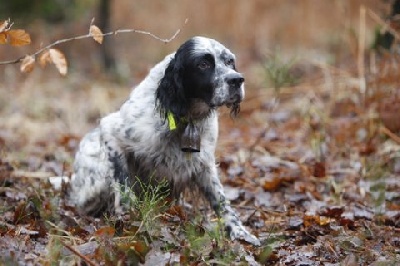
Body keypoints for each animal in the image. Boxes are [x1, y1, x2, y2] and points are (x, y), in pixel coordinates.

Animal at [69, 35, 260, 245]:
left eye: (230, 62)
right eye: (203, 64)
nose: (237, 79)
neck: (186, 118)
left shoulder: (204, 162)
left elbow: (221, 200)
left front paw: (239, 231)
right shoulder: (111, 132)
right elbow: (124, 187)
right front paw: (127, 220)